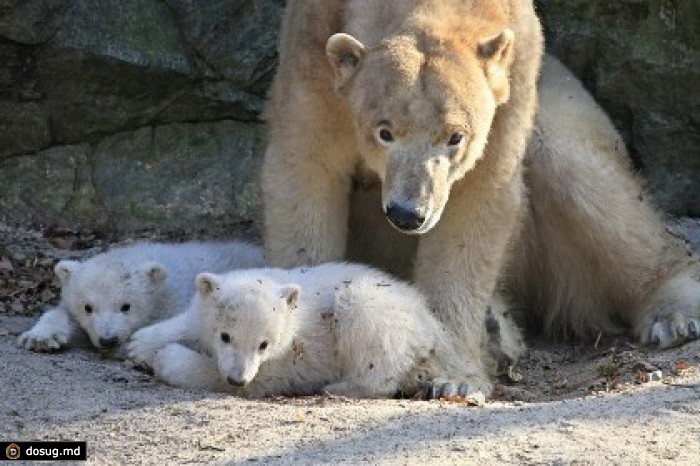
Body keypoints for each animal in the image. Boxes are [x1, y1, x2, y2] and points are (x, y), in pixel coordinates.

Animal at [264, 0, 700, 394]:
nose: (408, 213)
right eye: (384, 132)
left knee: (577, 172)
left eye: (456, 136)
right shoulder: (312, 56)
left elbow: (476, 205)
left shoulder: (512, 81)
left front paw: (451, 378)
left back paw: (671, 316)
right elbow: (306, 177)